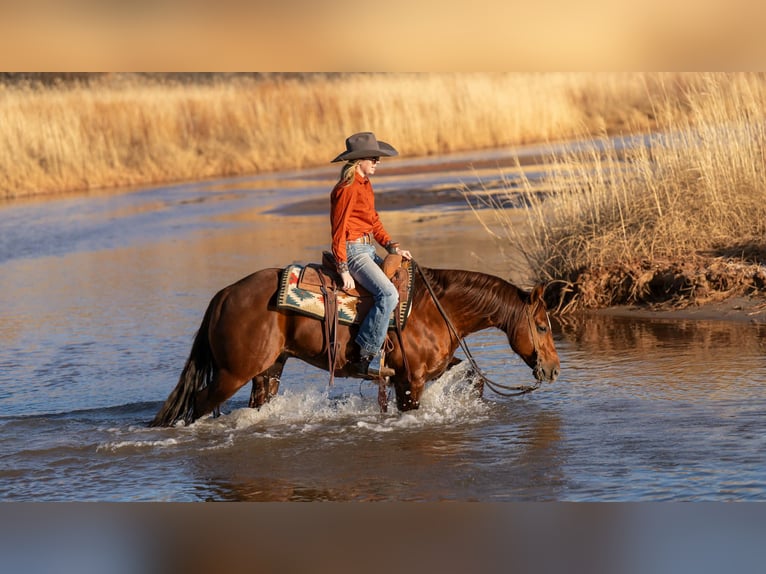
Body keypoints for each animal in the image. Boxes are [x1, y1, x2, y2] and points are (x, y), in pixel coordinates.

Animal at [150, 263, 561, 427]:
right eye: (542, 325)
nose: (554, 369)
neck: (434, 308)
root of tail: (224, 295)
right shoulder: (409, 380)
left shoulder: (433, 369)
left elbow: (472, 378)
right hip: (232, 374)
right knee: (198, 404)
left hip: (269, 369)